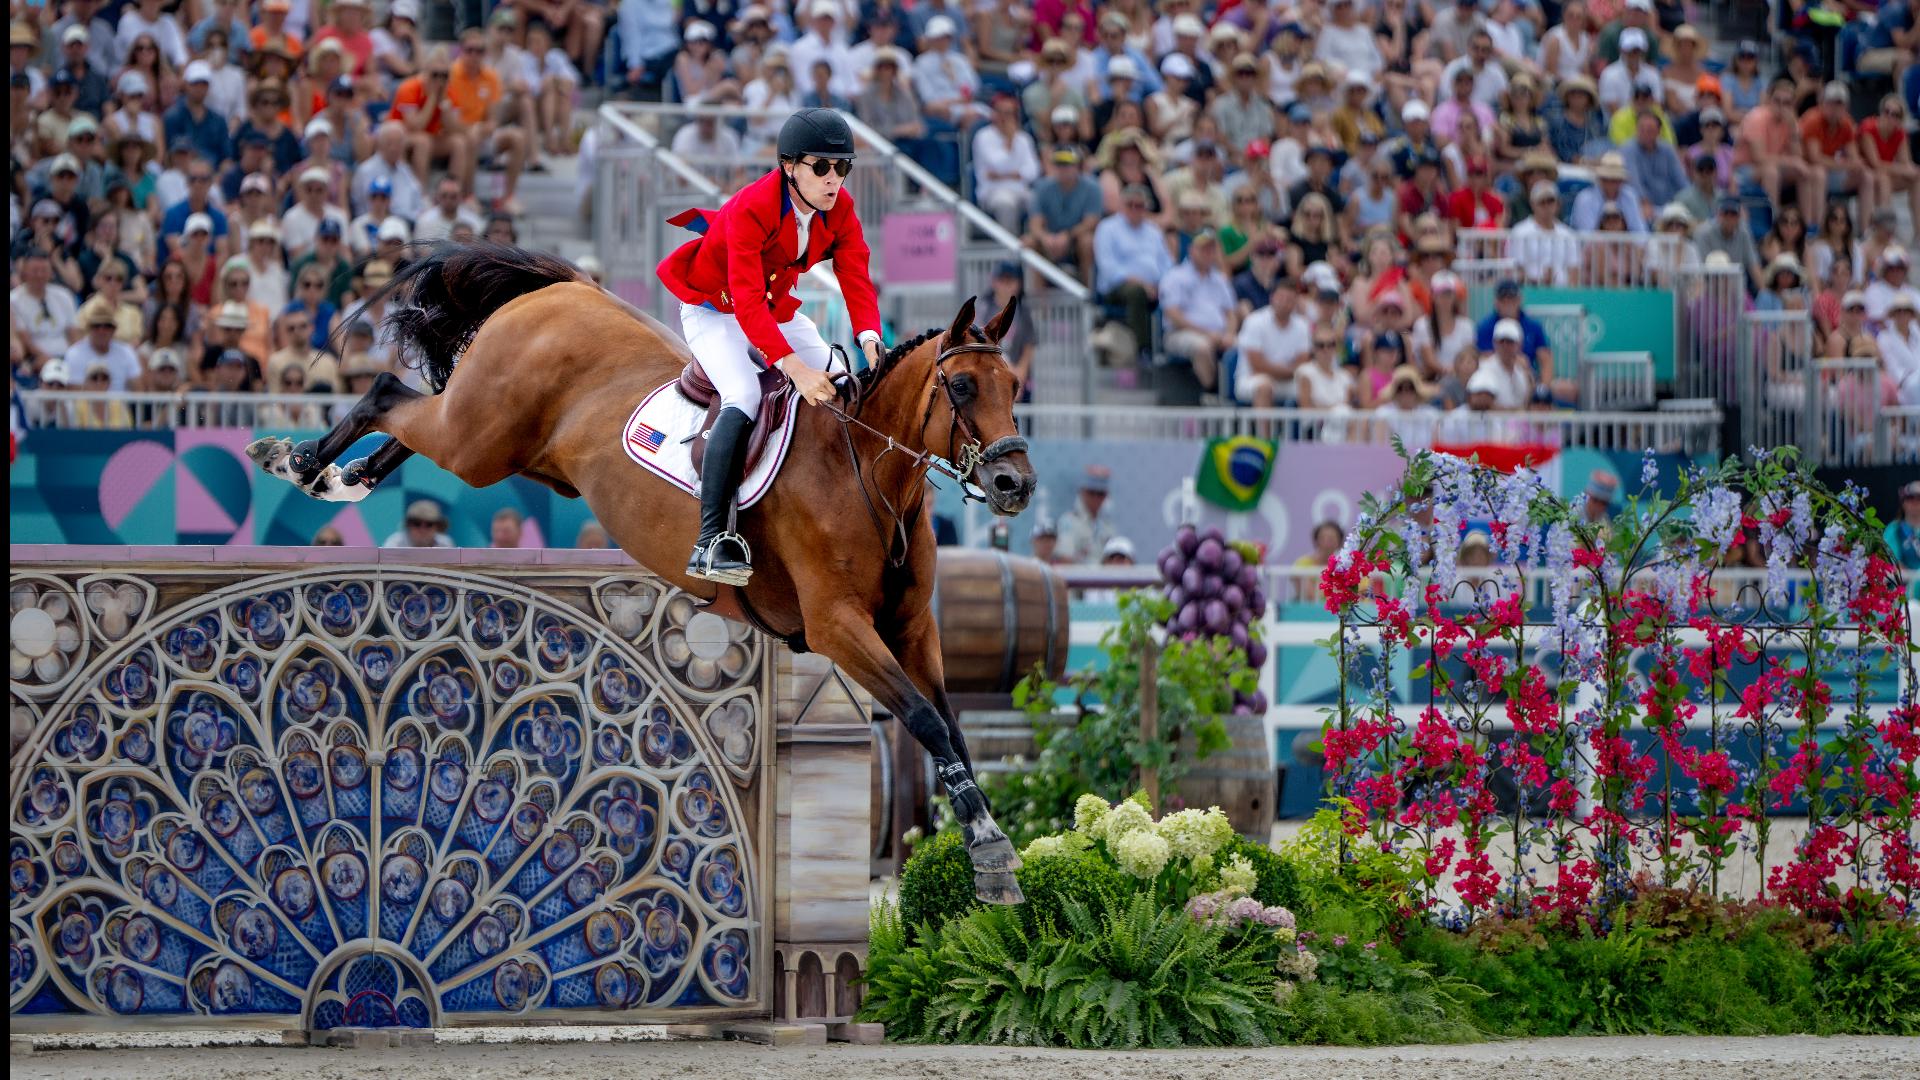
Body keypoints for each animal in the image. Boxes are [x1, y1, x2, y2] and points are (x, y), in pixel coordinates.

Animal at [251, 244, 1052, 899]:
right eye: (961, 389)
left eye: (1015, 386)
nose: (1015, 485)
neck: (866, 473)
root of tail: (562, 290)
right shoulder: (837, 627)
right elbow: (924, 720)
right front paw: (990, 848)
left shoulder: (912, 630)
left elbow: (950, 728)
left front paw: (988, 850)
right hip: (481, 440)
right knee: (388, 395)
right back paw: (299, 460)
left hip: (505, 448)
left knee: (414, 420)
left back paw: (341, 477)